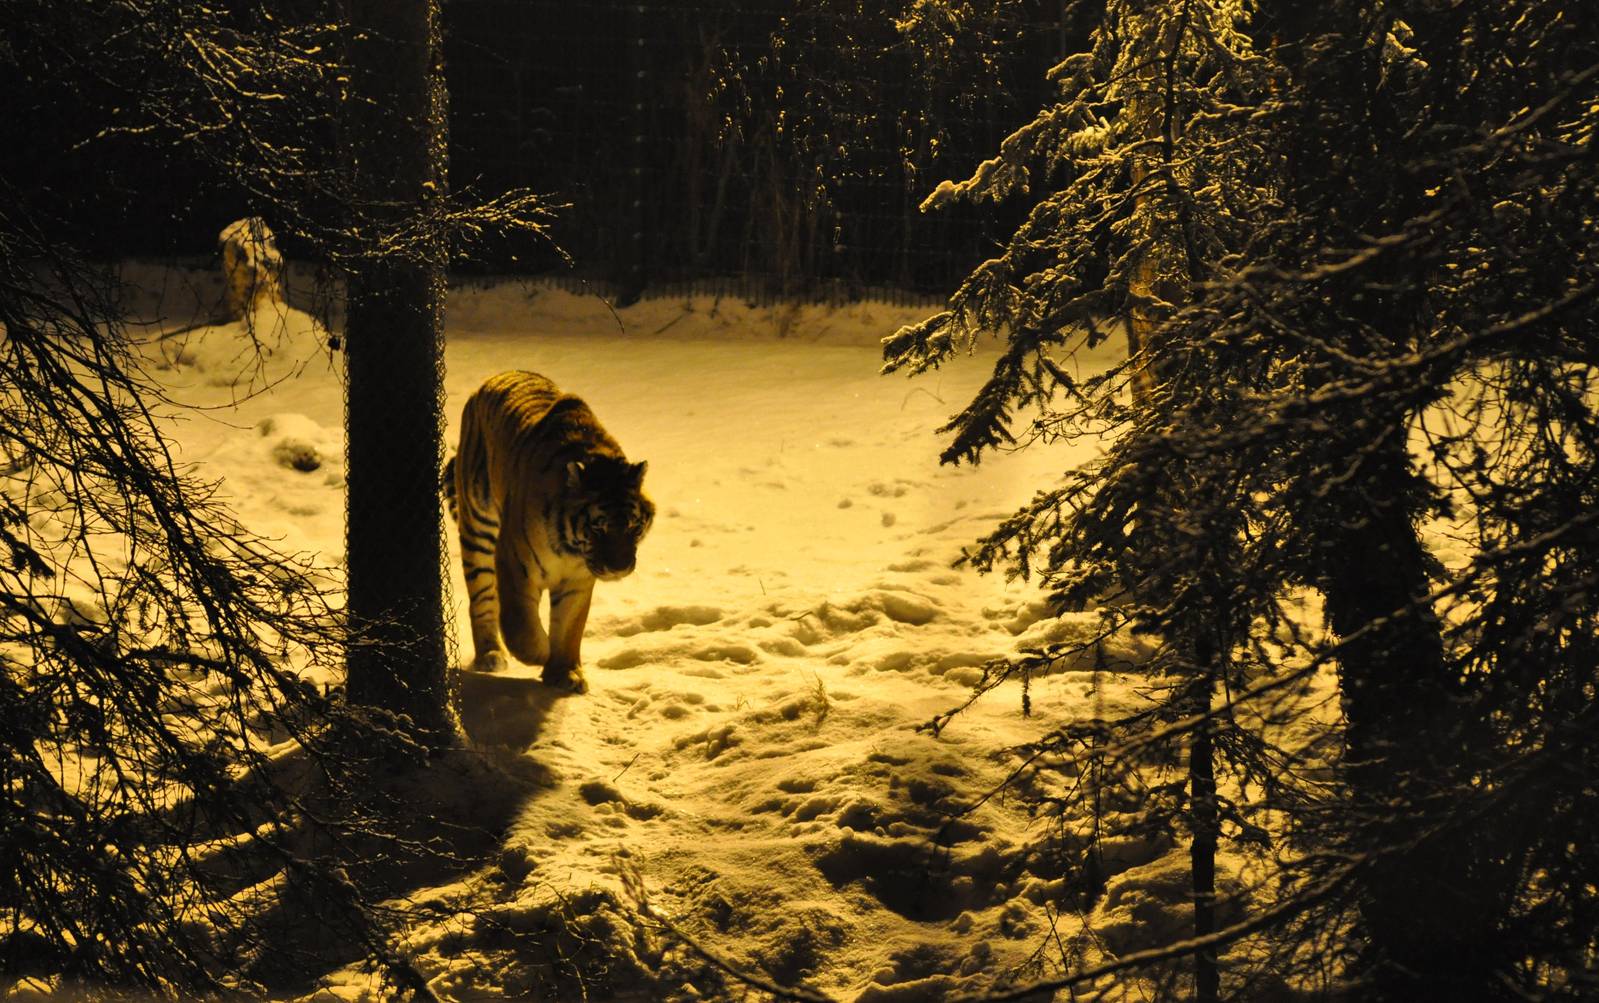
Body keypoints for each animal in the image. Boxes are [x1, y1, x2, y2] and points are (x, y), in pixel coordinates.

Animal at [444, 370, 654, 693]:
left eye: (634, 525)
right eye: (598, 527)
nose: (618, 568)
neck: (570, 548)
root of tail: (497, 376)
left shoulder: (577, 580)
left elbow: (569, 628)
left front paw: (565, 672)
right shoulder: (514, 565)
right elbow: (521, 626)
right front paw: (542, 652)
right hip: (479, 530)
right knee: (481, 599)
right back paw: (490, 655)